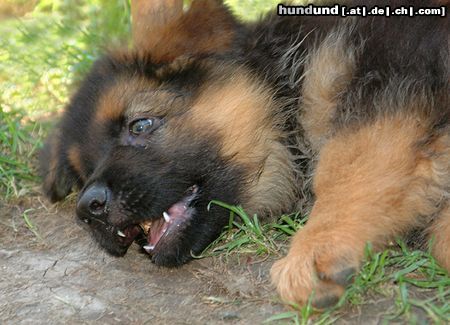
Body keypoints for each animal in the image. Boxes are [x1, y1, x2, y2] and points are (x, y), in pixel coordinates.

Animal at [40, 0, 448, 306]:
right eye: (83, 174)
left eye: (139, 125)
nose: (87, 209)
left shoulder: (388, 86)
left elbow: (347, 164)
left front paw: (315, 249)